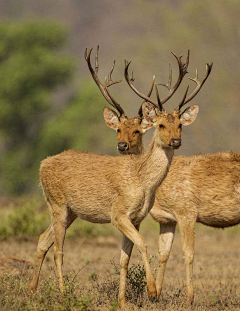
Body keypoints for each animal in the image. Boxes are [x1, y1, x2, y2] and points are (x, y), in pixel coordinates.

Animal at [27, 47, 201, 310]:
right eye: (161, 125)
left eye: (180, 125)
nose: (176, 141)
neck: (142, 183)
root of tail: (42, 164)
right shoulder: (117, 213)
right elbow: (143, 243)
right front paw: (152, 292)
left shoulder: (136, 218)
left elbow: (124, 258)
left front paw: (123, 301)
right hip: (56, 203)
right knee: (58, 249)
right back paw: (63, 294)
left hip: (70, 211)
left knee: (42, 240)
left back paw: (32, 291)